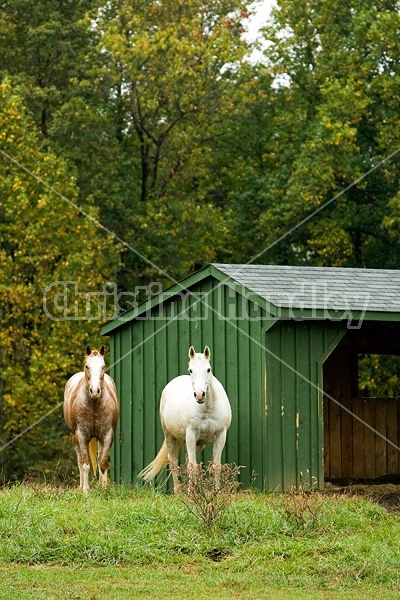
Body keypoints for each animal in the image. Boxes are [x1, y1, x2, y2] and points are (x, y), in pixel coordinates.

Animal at [63, 346, 119, 492]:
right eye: (87, 366)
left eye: (103, 366)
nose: (95, 391)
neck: (94, 405)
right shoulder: (81, 436)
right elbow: (85, 464)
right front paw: (86, 491)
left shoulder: (107, 435)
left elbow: (103, 463)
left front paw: (103, 489)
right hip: (75, 438)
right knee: (79, 461)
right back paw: (81, 486)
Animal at [138, 346, 231, 492]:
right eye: (190, 370)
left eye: (208, 369)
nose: (199, 395)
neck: (208, 408)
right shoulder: (191, 436)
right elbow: (192, 467)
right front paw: (192, 493)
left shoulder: (221, 435)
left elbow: (216, 466)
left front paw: (216, 492)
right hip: (170, 436)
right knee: (173, 462)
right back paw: (179, 491)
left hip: (199, 443)